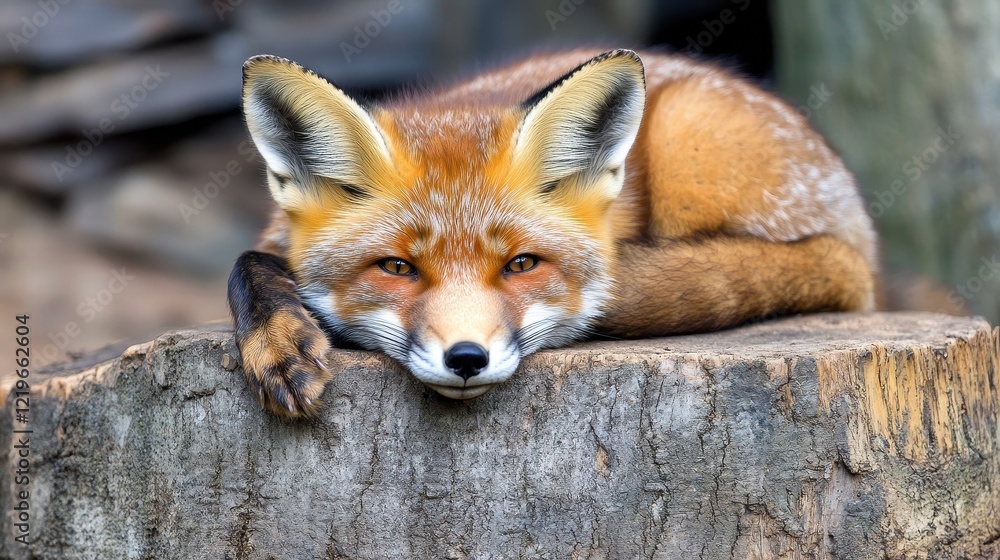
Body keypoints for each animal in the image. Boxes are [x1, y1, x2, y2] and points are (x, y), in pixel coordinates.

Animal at [228, 48, 877, 418]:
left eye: (521, 264)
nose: (467, 358)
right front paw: (281, 346)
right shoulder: (271, 244)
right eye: (396, 267)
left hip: (686, 129)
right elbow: (249, 266)